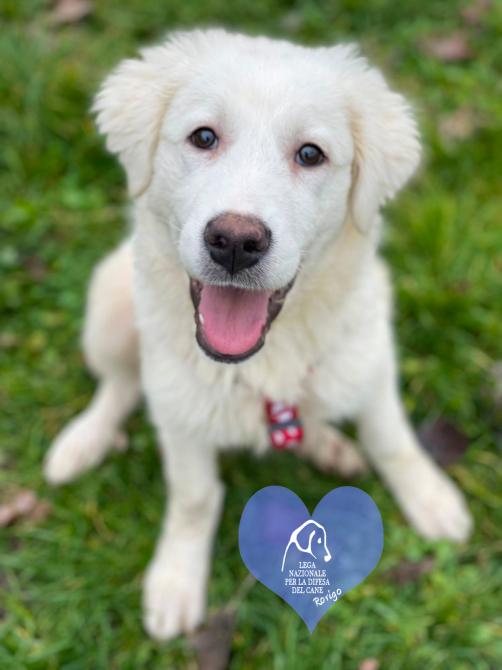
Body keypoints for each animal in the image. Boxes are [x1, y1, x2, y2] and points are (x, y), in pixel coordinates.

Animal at [44, 29, 472, 641]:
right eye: (203, 137)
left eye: (311, 154)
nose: (235, 242)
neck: (262, 355)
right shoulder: (179, 410)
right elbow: (195, 498)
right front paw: (176, 582)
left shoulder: (369, 359)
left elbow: (392, 439)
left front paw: (432, 500)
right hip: (109, 302)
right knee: (120, 385)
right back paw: (82, 442)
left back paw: (331, 446)